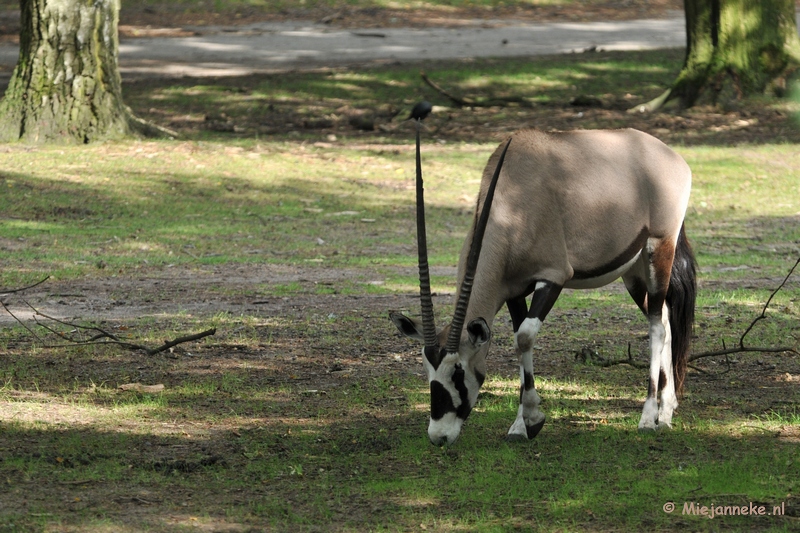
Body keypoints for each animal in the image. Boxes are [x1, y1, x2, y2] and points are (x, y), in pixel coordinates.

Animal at [390, 125, 696, 444]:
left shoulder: (553, 277)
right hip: (634, 274)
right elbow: (518, 336)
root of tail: (672, 157)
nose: (439, 436)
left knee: (657, 326)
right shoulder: (513, 289)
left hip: (659, 248)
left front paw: (533, 418)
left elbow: (524, 336)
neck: (512, 204)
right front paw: (519, 425)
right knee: (664, 318)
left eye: (458, 372)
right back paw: (666, 412)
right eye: (427, 368)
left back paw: (648, 417)